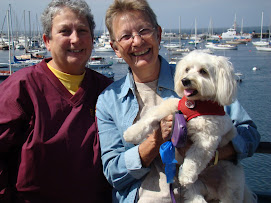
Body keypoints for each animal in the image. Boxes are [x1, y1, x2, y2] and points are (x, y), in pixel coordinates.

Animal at [124, 50, 256, 202]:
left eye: (203, 71)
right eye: (187, 69)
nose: (185, 80)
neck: (195, 106)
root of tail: (212, 192)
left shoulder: (207, 139)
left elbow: (195, 157)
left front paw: (185, 175)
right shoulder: (172, 107)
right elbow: (150, 117)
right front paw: (131, 133)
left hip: (231, 188)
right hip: (196, 189)